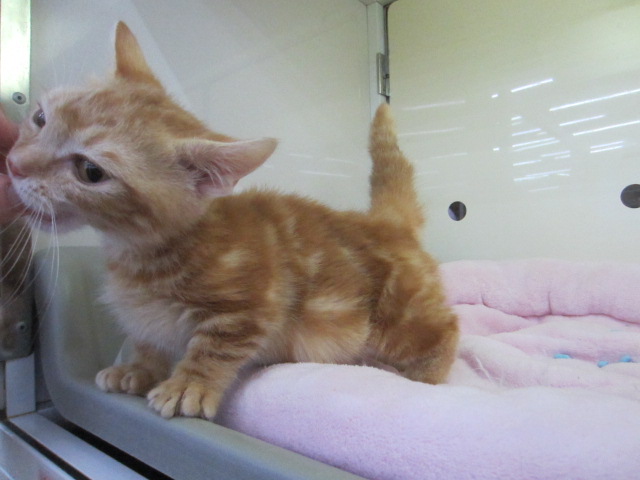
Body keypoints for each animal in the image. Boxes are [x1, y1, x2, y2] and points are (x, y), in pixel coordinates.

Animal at [6, 22, 458, 420]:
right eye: (40, 119)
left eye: (90, 172)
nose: (13, 165)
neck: (141, 251)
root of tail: (384, 222)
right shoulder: (146, 316)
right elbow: (148, 337)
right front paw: (140, 368)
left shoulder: (252, 304)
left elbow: (214, 346)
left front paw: (188, 384)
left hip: (399, 315)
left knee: (446, 328)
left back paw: (423, 376)